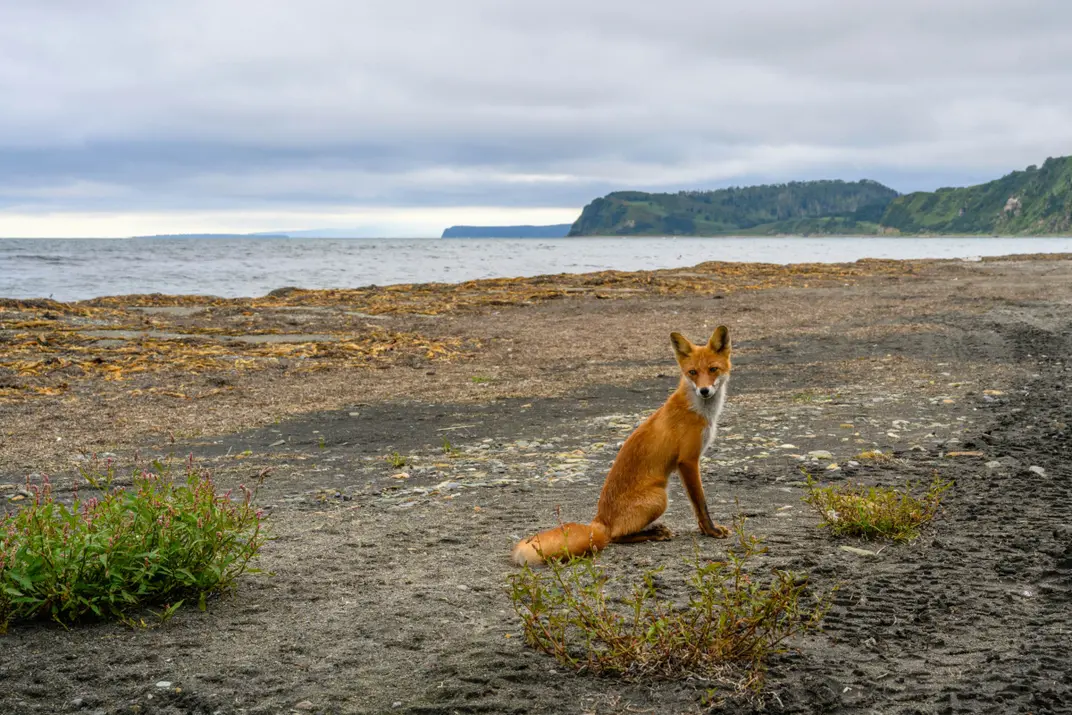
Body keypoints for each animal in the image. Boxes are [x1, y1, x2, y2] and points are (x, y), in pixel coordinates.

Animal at [512, 326, 733, 566]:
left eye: (713, 369)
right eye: (692, 372)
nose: (704, 391)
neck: (699, 410)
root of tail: (599, 520)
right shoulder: (688, 460)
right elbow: (700, 503)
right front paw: (711, 531)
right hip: (660, 498)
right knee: (616, 537)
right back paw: (654, 533)